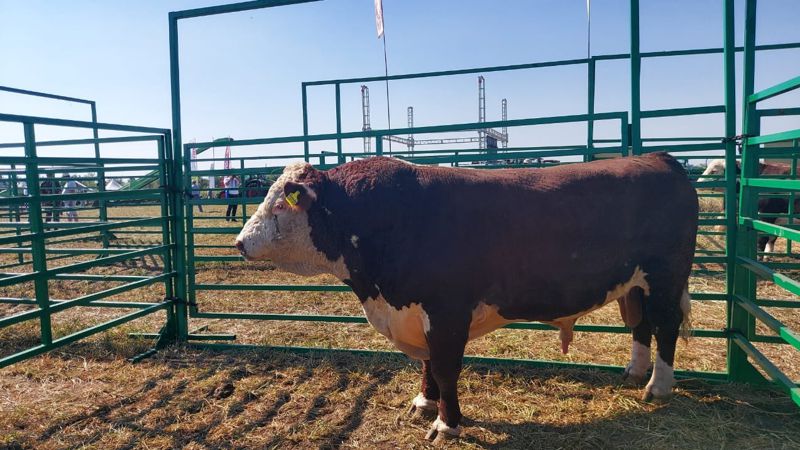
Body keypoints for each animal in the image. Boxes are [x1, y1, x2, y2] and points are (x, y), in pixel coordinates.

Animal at [234, 153, 696, 442]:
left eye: (280, 205)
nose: (239, 242)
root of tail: (658, 158)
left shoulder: (446, 311)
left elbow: (444, 368)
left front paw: (447, 424)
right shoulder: (414, 311)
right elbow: (426, 366)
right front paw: (423, 403)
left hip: (666, 277)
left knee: (666, 326)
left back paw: (658, 386)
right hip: (635, 284)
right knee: (641, 325)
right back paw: (634, 372)